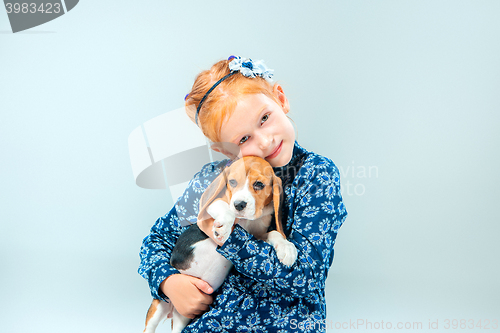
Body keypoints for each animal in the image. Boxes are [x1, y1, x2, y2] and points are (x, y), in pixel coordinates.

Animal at [145, 156, 298, 332]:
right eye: (232, 182)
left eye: (259, 184)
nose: (239, 204)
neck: (247, 220)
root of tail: (172, 309)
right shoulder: (212, 206)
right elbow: (225, 208)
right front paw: (224, 227)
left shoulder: (257, 236)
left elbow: (275, 234)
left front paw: (287, 248)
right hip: (158, 307)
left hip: (181, 318)